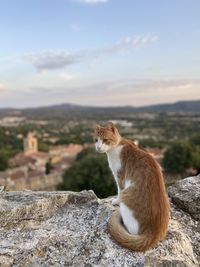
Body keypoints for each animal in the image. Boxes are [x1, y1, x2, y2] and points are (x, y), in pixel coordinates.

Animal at [94, 122, 170, 252]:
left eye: (105, 140)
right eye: (96, 140)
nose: (98, 147)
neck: (116, 147)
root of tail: (153, 235)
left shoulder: (120, 177)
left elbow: (119, 191)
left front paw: (115, 201)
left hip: (126, 197)